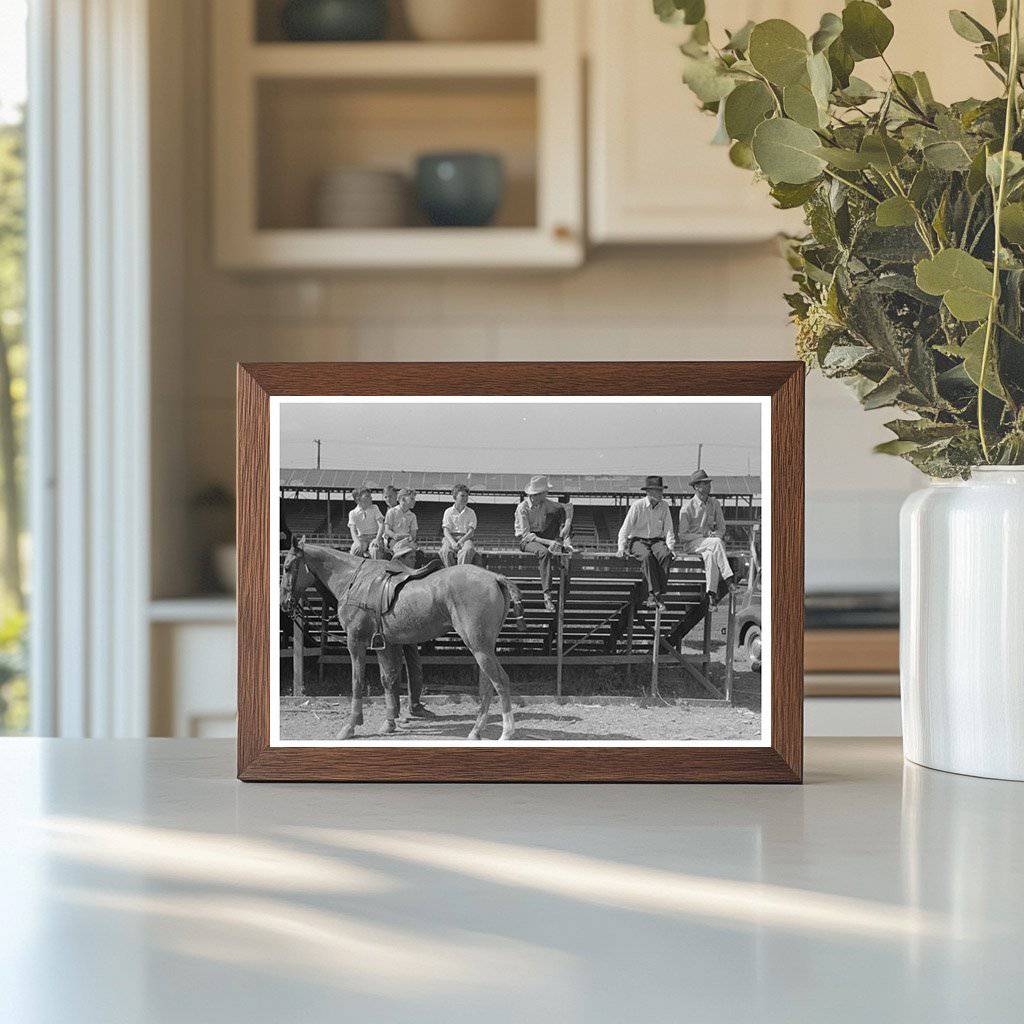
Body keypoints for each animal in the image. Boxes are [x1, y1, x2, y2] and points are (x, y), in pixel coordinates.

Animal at [278, 540, 524, 741]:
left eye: (287, 567)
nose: (283, 603)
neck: (355, 580)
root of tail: (494, 578)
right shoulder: (384, 644)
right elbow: (388, 680)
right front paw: (389, 723)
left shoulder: (355, 642)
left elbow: (357, 682)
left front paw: (350, 726)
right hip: (484, 647)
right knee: (488, 686)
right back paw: (476, 730)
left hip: (479, 646)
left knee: (500, 681)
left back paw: (507, 732)